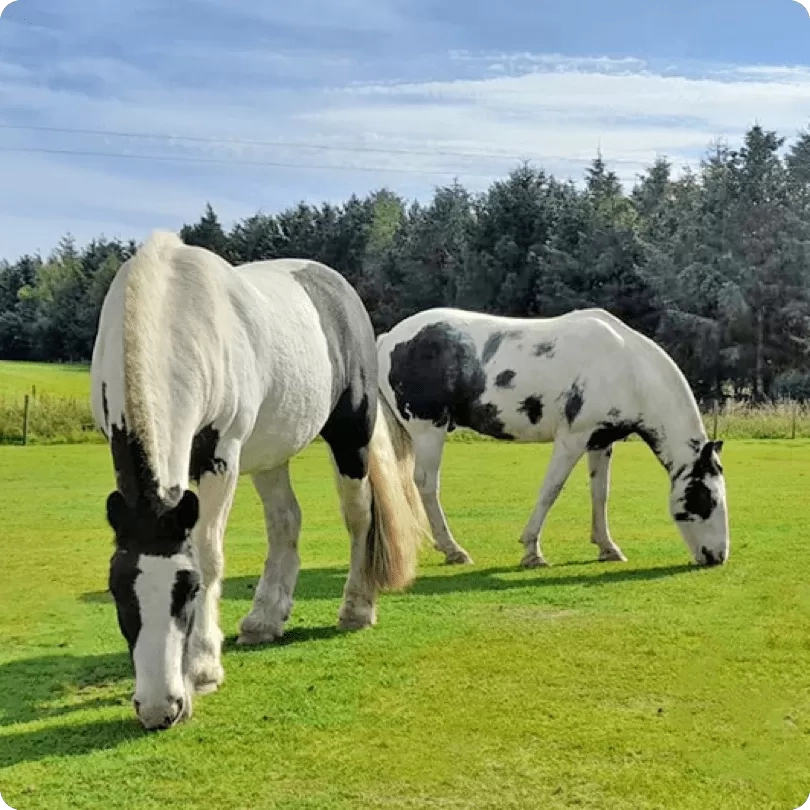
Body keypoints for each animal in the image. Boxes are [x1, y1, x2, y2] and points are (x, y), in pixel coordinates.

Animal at [90, 231, 426, 731]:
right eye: (118, 590)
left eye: (189, 589)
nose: (159, 709)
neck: (170, 307)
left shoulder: (221, 457)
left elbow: (210, 554)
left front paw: (203, 667)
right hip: (271, 455)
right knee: (286, 521)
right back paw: (264, 619)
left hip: (350, 435)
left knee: (358, 517)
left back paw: (357, 607)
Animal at [376, 306, 729, 569]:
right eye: (707, 498)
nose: (718, 556)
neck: (626, 368)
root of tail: (390, 338)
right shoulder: (572, 440)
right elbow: (551, 490)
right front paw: (532, 551)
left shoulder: (601, 442)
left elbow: (600, 493)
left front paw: (607, 547)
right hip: (428, 431)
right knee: (426, 485)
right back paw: (453, 549)